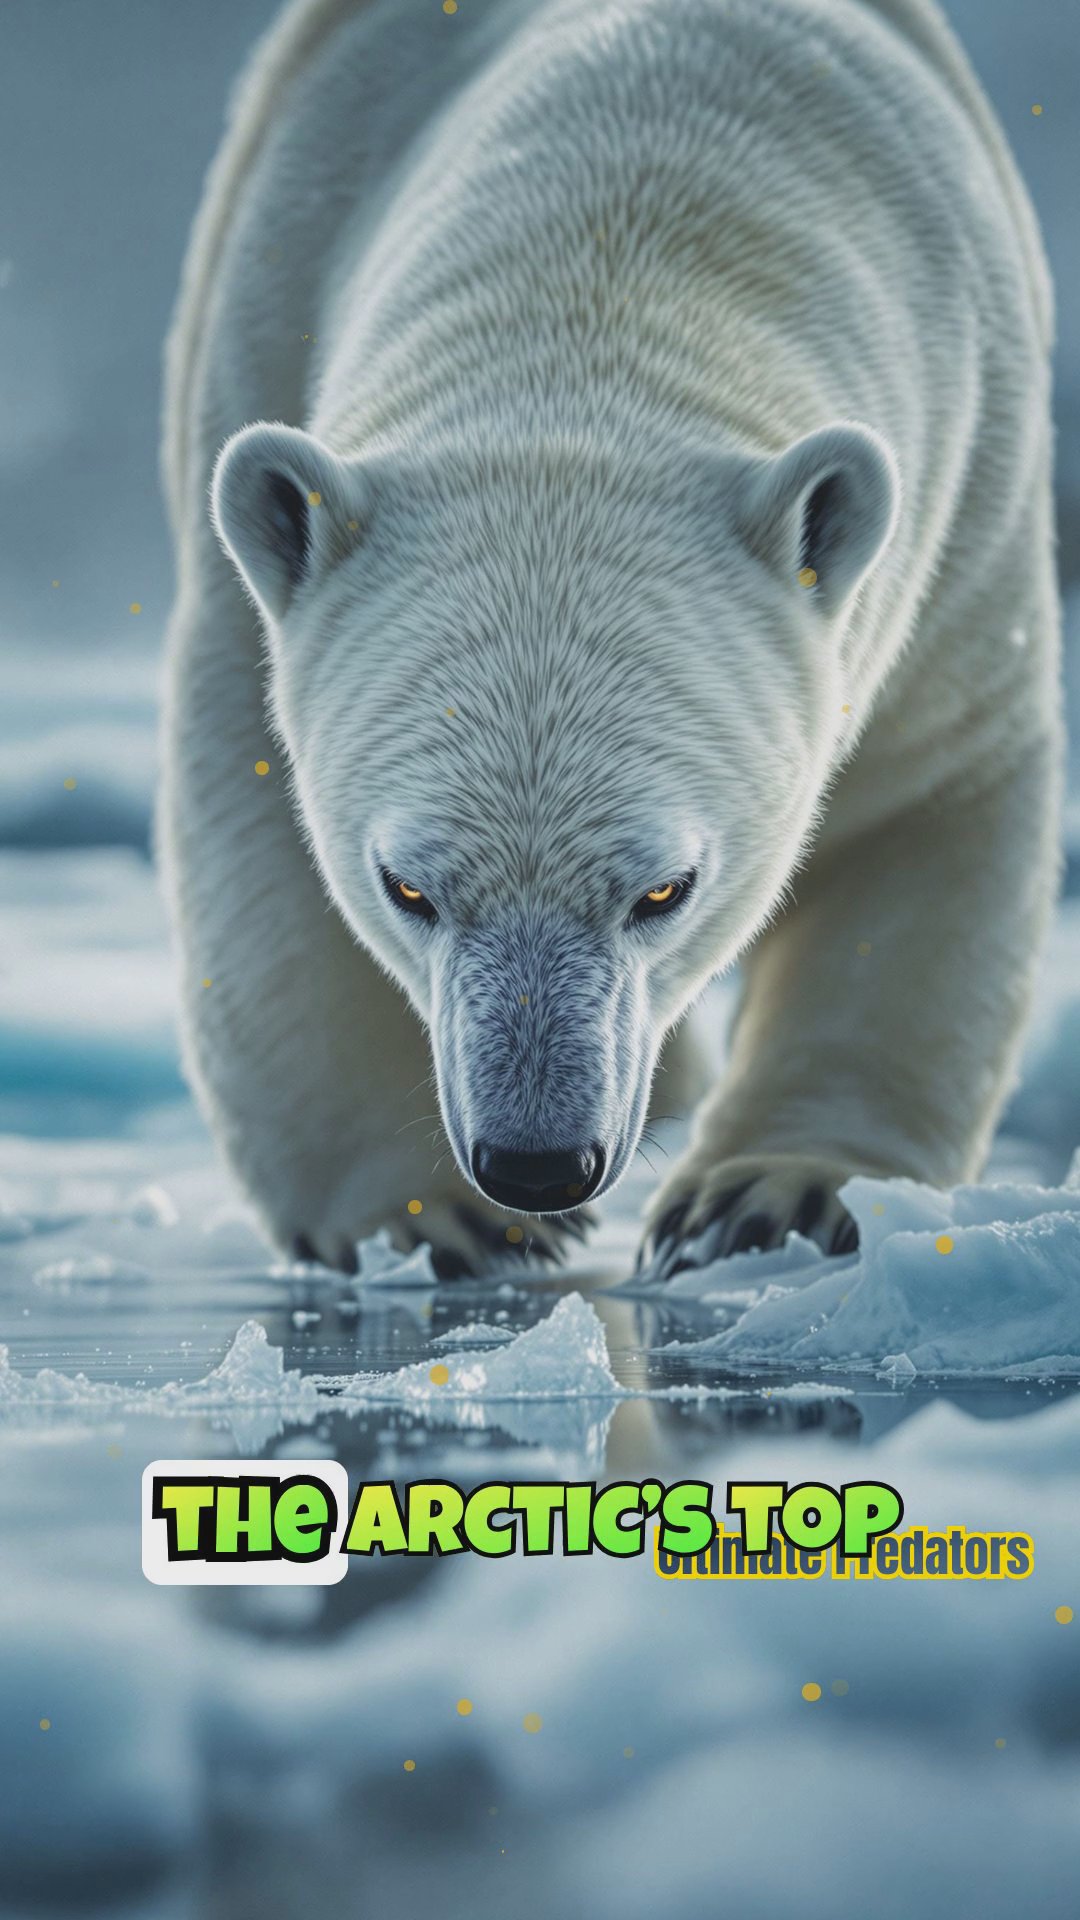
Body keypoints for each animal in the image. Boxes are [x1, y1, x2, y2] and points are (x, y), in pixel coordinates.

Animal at [160, 0, 1061, 1279]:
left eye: (665, 889)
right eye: (406, 887)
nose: (539, 1163)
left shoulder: (971, 494)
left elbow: (919, 810)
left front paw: (772, 1194)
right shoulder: (267, 319)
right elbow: (262, 825)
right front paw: (434, 1216)